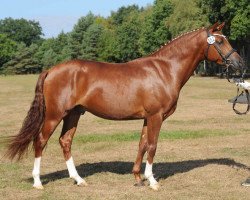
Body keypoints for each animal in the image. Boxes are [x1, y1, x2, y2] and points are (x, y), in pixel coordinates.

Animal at [5, 22, 244, 190]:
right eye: (220, 42)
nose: (240, 63)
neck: (164, 70)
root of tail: (51, 70)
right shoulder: (156, 116)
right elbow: (153, 146)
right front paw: (152, 181)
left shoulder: (148, 117)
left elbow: (142, 144)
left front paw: (138, 177)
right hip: (54, 115)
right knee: (40, 141)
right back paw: (38, 182)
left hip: (73, 114)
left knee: (65, 141)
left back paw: (79, 179)